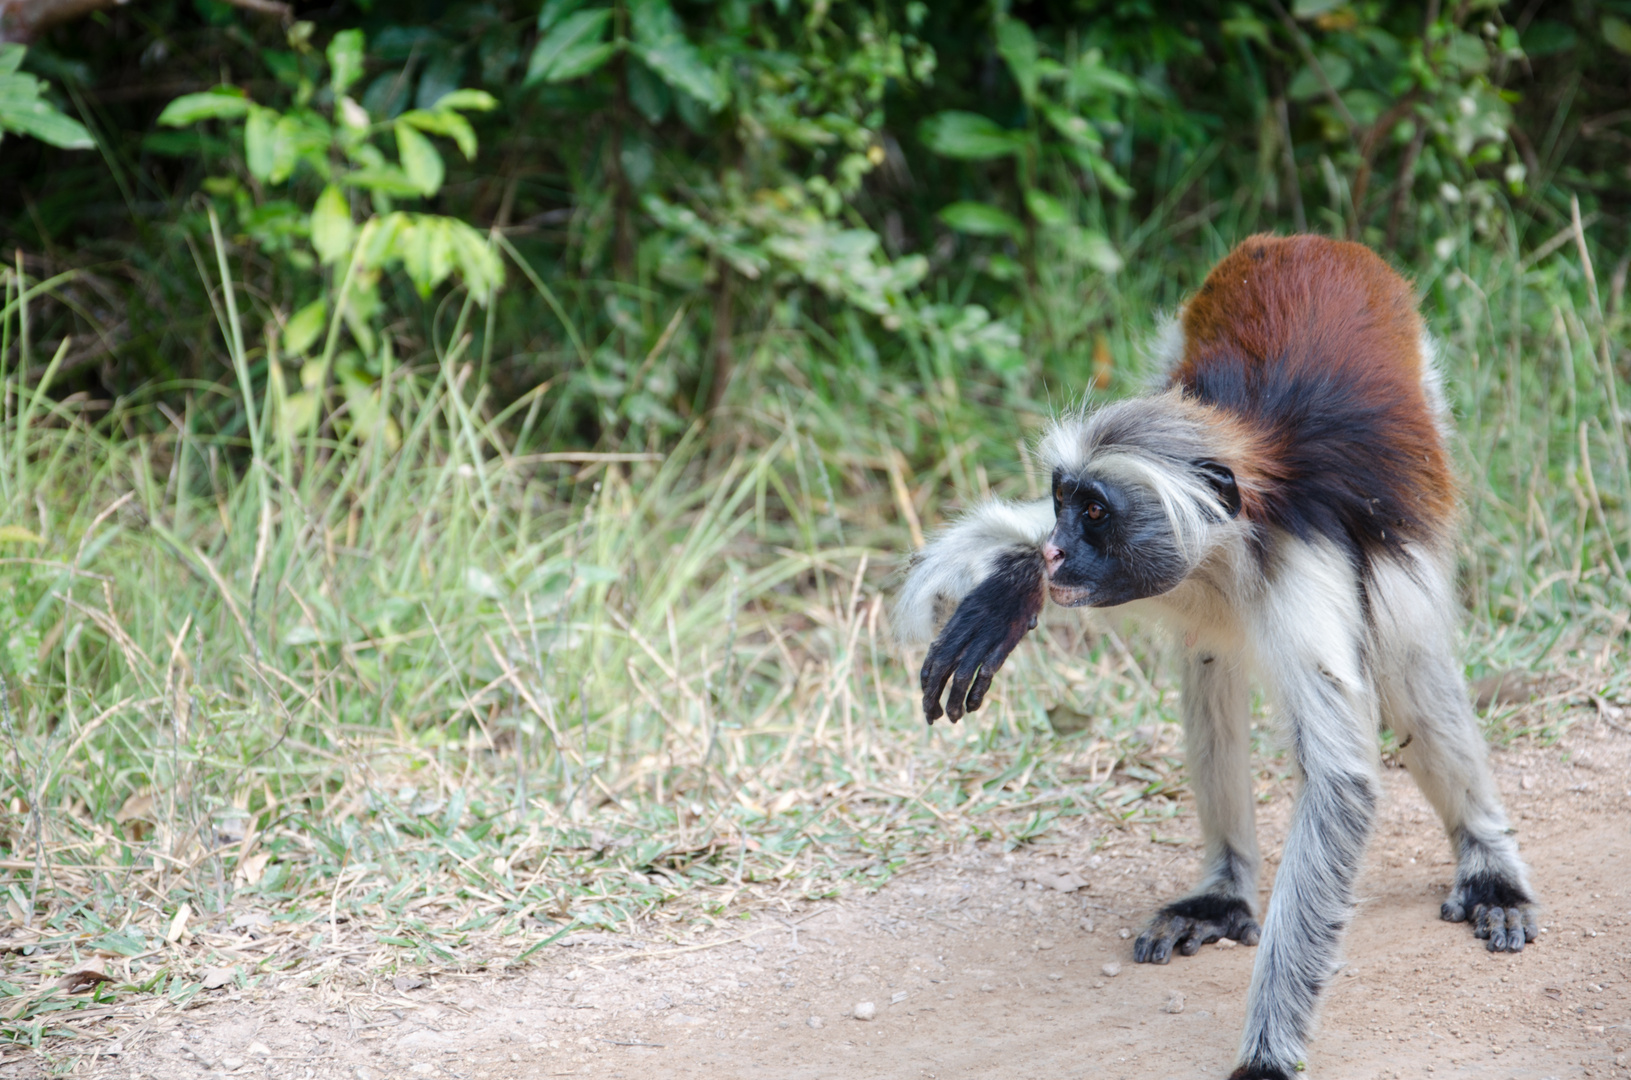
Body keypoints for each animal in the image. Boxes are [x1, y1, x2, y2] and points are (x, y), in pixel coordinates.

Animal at [900, 236, 1533, 1080]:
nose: (1056, 550)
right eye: (1062, 500)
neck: (1222, 554)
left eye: (1093, 511)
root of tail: (1312, 242)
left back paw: (1486, 863)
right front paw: (1007, 586)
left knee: (1407, 655)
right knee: (1209, 669)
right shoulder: (1157, 569)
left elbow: (1340, 783)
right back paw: (1226, 892)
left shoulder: (1298, 564)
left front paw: (1265, 1054)